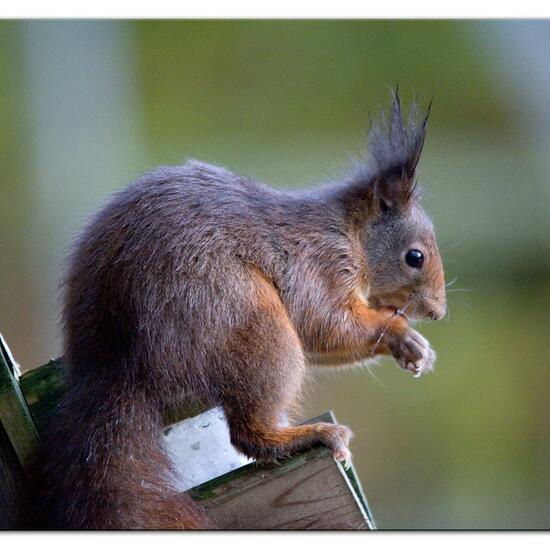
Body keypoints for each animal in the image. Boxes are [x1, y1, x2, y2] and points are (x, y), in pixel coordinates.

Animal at [22, 91, 448, 532]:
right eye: (414, 257)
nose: (437, 312)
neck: (351, 234)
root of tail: (119, 365)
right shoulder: (320, 264)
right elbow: (326, 323)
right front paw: (403, 335)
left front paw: (415, 350)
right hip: (251, 323)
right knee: (248, 433)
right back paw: (307, 435)